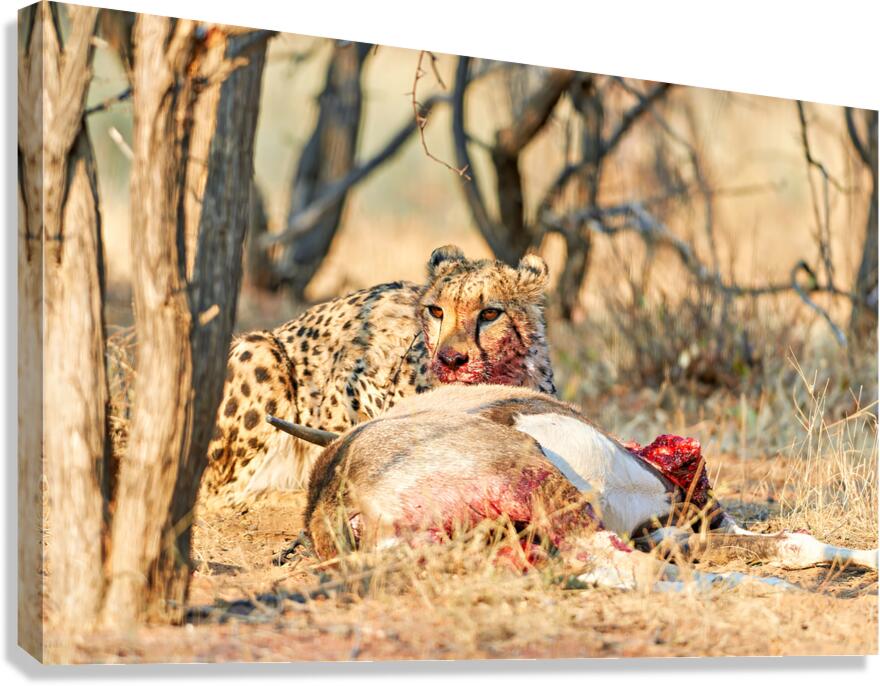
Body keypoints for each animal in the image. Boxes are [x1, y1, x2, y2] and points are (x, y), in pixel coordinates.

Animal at [200, 244, 557, 508]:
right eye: (436, 311)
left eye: (490, 313)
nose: (451, 359)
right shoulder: (350, 378)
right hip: (259, 348)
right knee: (219, 492)